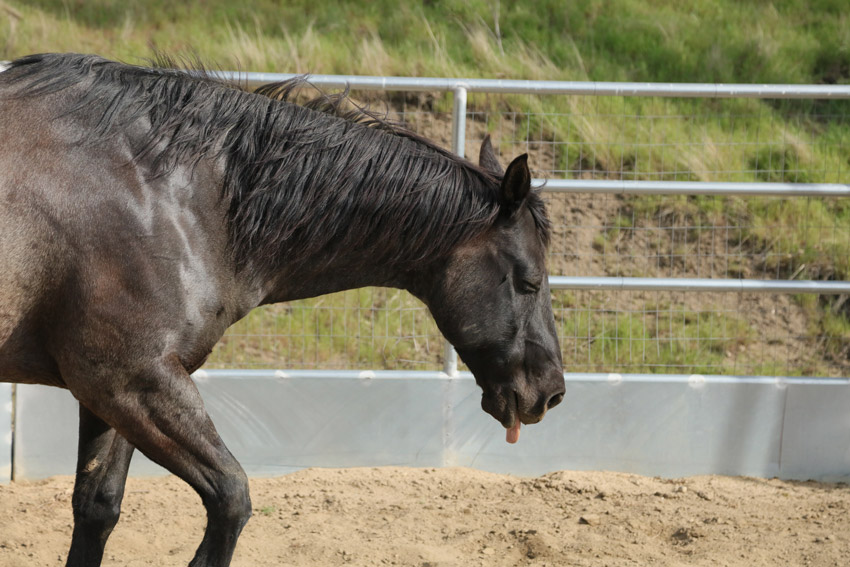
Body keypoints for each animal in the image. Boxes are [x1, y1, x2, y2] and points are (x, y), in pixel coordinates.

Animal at [0, 54, 568, 567]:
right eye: (530, 281)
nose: (551, 392)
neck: (173, 195)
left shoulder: (107, 393)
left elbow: (97, 508)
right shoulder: (132, 379)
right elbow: (231, 498)